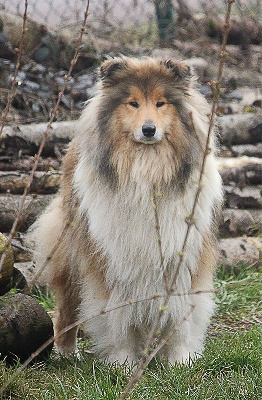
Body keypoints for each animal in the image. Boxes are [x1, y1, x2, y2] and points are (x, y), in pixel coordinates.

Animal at [32, 57, 221, 366]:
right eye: (132, 103)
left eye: (161, 103)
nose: (148, 130)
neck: (148, 167)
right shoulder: (111, 260)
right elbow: (117, 315)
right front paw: (122, 364)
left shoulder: (185, 257)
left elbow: (182, 314)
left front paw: (180, 362)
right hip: (69, 251)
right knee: (66, 306)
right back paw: (67, 354)